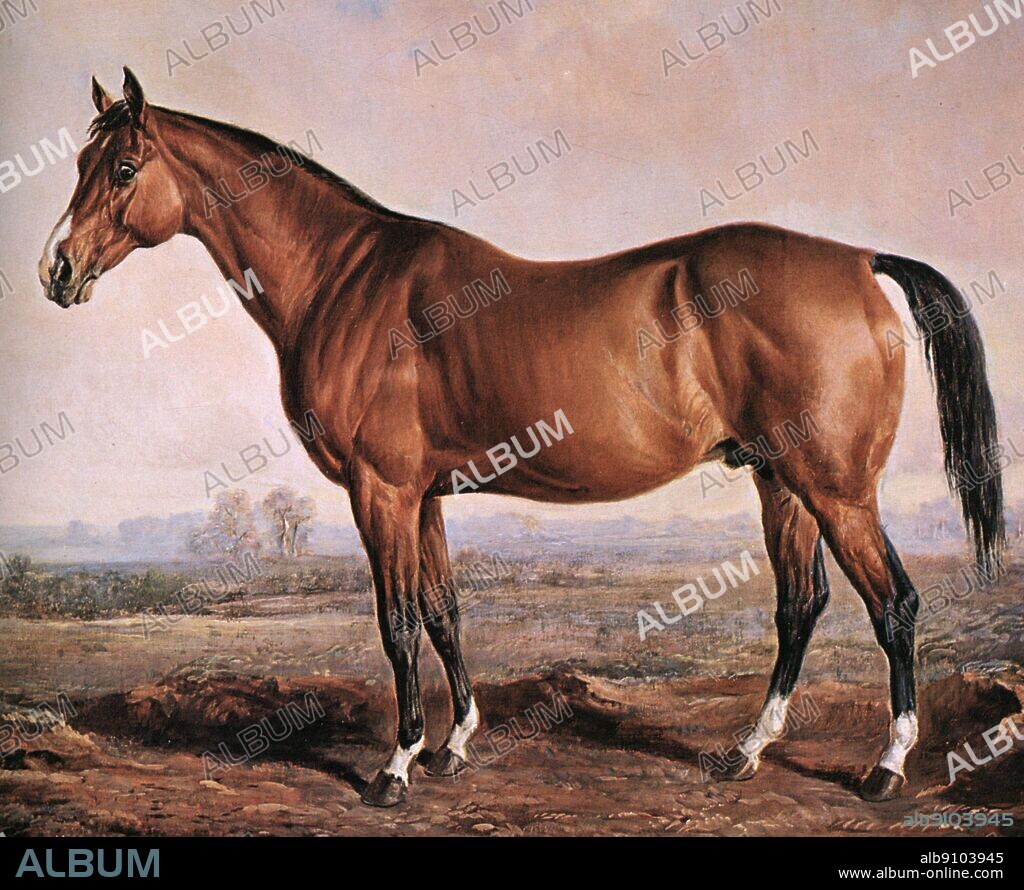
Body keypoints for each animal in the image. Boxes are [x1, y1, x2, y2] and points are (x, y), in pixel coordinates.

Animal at [39, 69, 1003, 807]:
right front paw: (454, 745)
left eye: (123, 166)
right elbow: (443, 611)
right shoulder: (422, 496)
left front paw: (395, 767)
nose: (55, 268)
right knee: (801, 606)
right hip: (781, 481)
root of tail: (858, 261)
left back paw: (885, 768)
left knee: (894, 605)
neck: (346, 280)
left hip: (837, 487)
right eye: (81, 162)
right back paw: (744, 753)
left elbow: (396, 623)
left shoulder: (380, 492)